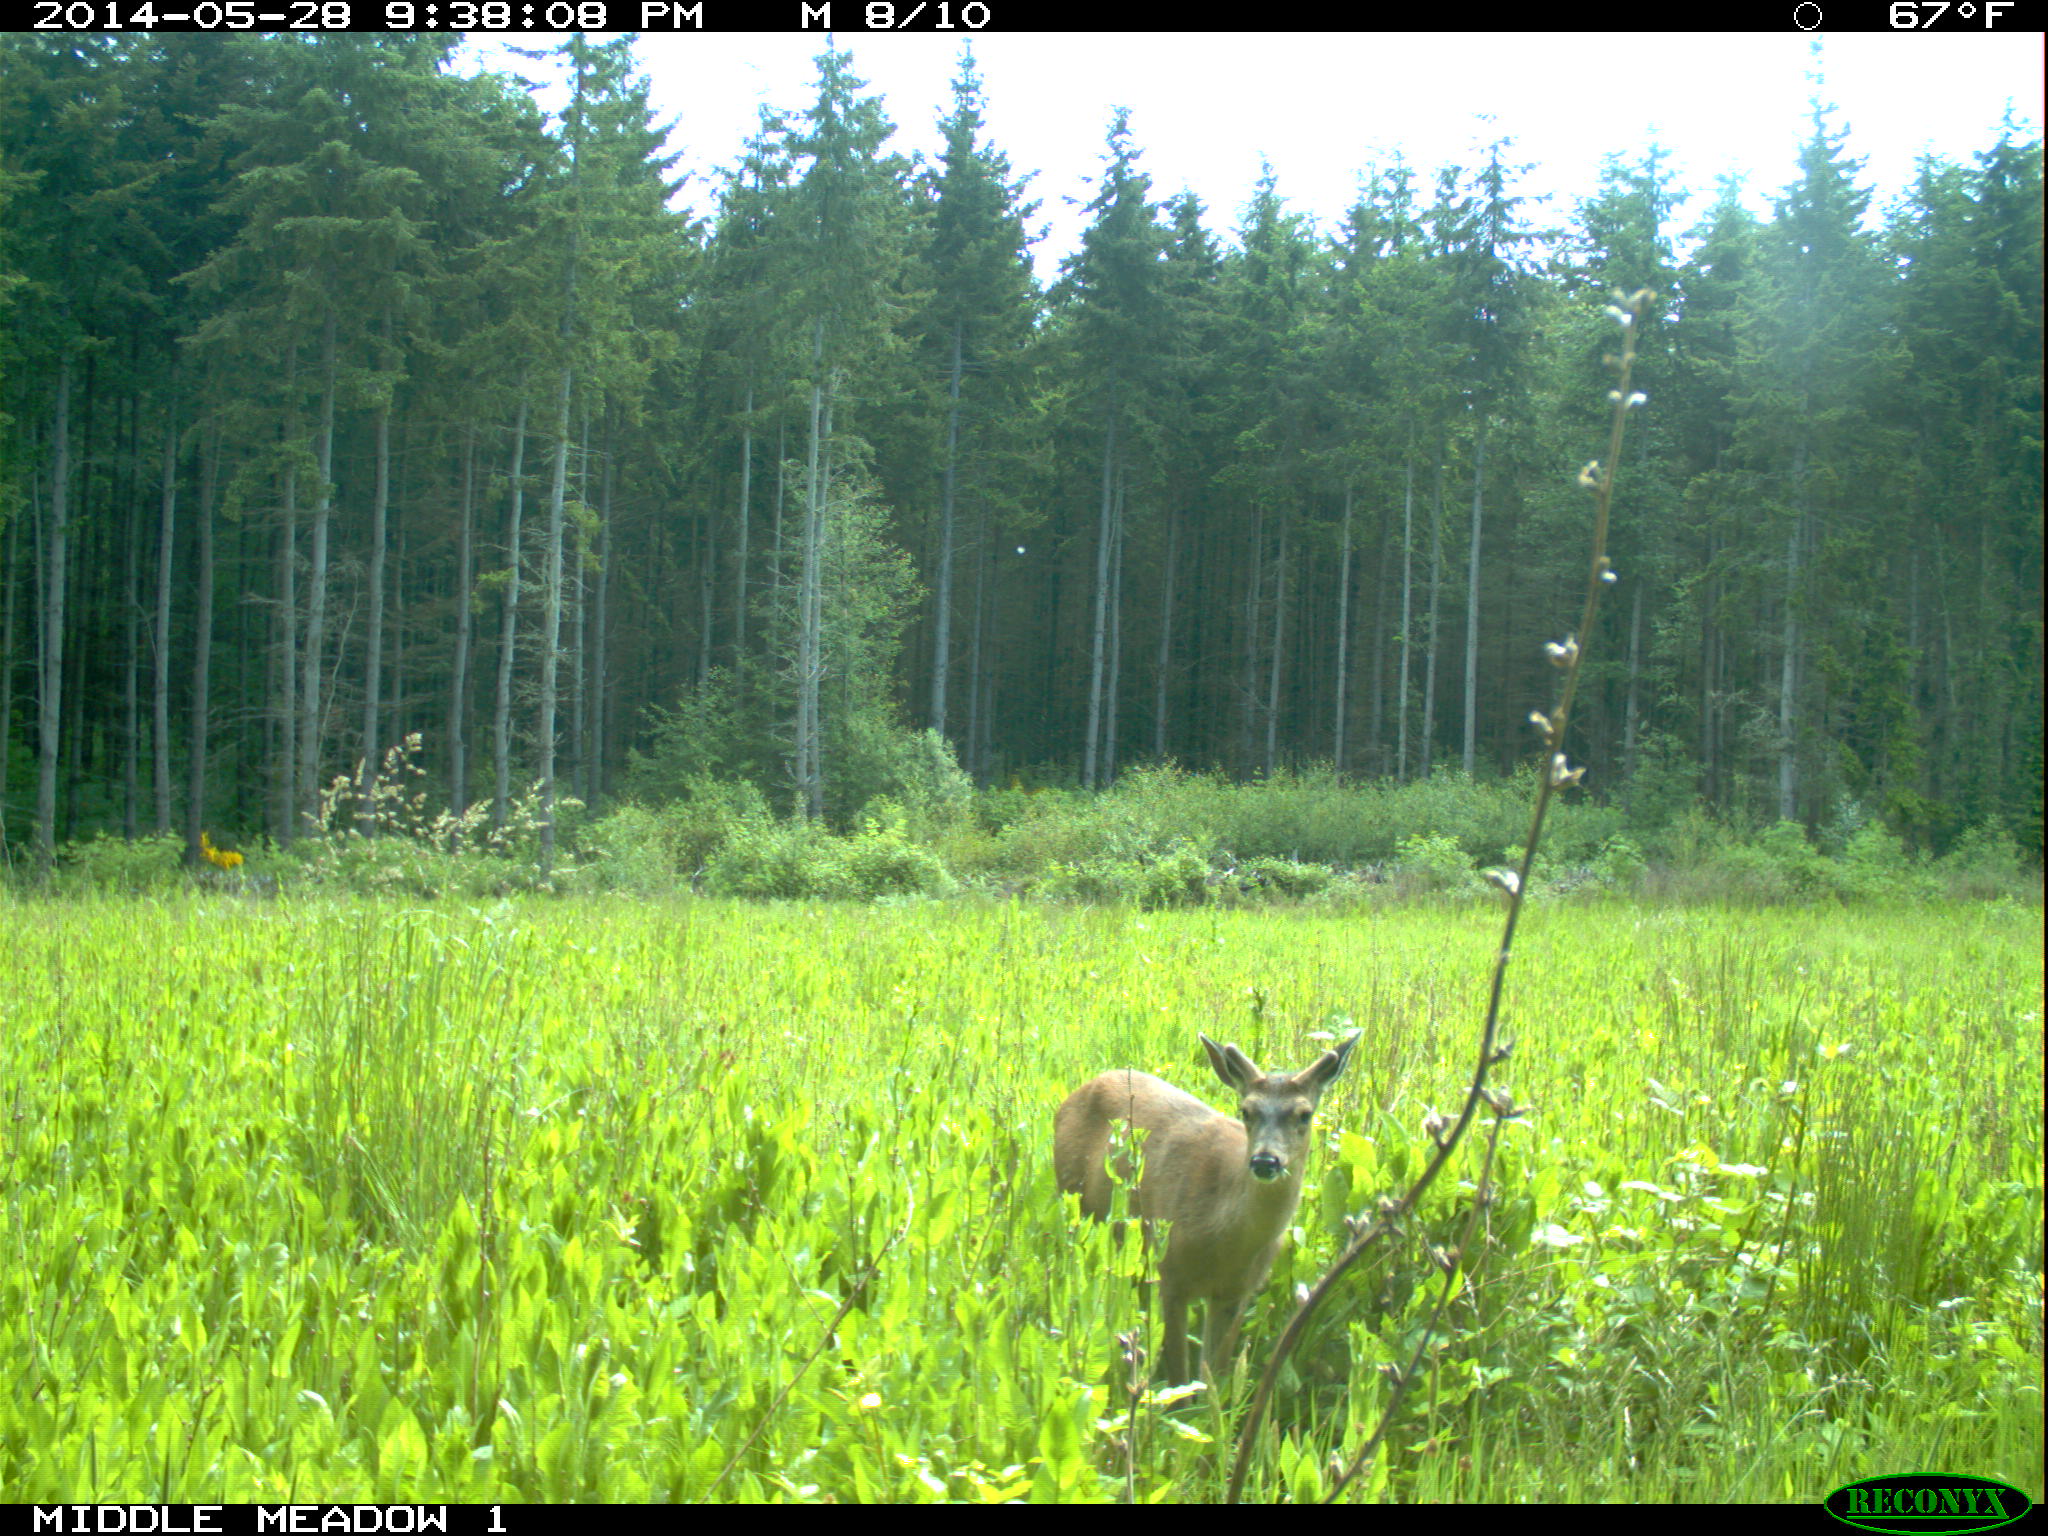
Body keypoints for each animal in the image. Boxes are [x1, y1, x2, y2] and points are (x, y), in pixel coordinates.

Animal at [1056, 1036, 1359, 1384]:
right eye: (1246, 1110)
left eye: (1305, 1114)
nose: (1265, 1161)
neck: (1222, 1237)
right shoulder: (1170, 1273)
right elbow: (1180, 1374)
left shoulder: (1237, 1292)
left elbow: (1215, 1374)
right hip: (1074, 1200)